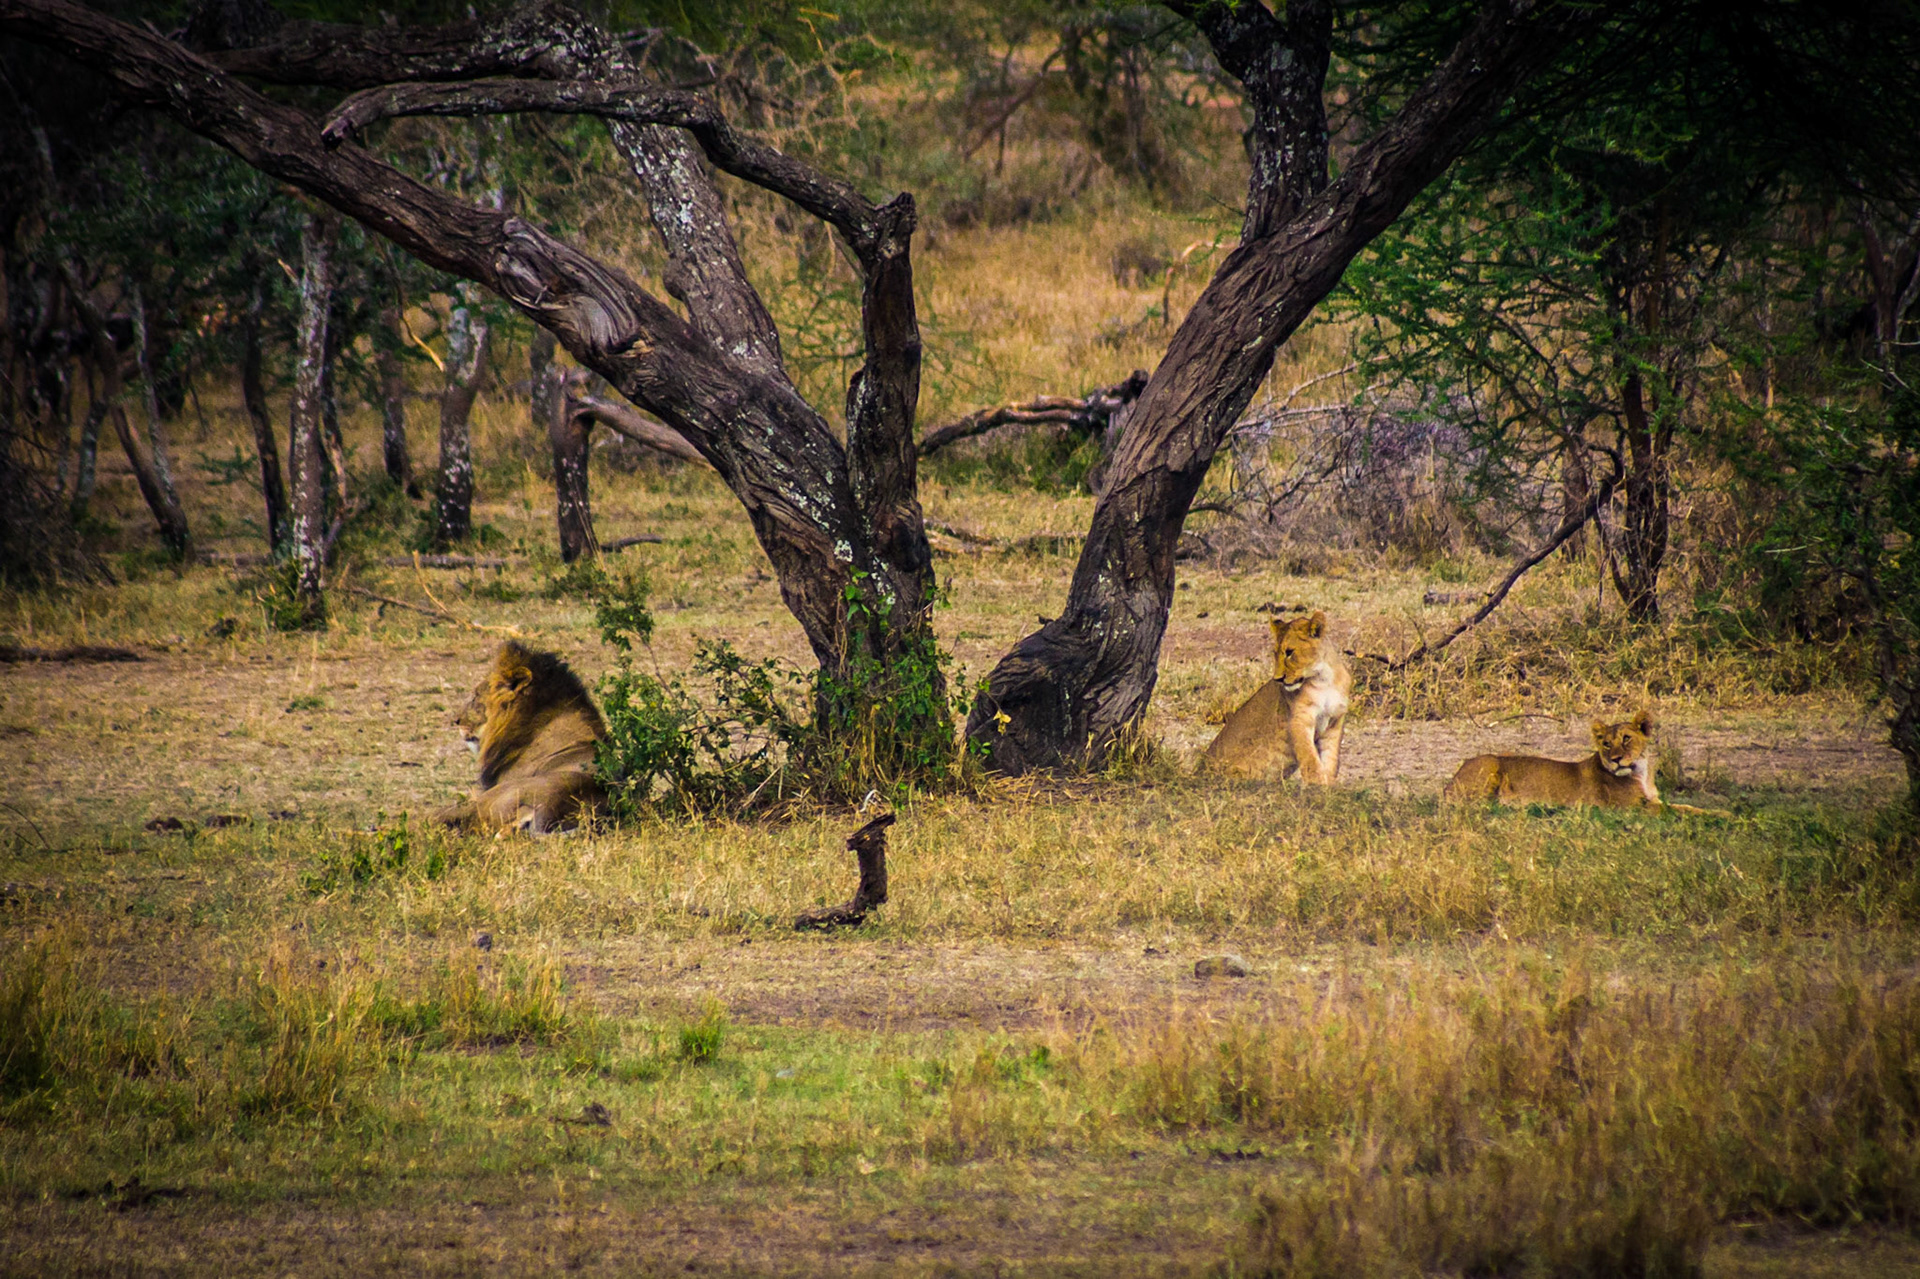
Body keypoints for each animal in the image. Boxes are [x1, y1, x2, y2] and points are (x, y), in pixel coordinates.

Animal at [1203, 612, 1352, 784]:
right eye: (1275, 653)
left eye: (1289, 652)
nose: (1278, 679)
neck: (1324, 679)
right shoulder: (1299, 719)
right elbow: (1310, 759)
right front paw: (1316, 784)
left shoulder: (1334, 723)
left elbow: (1331, 761)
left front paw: (1327, 786)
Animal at [1443, 711, 1729, 815]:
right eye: (1607, 744)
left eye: (1626, 738)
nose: (1615, 760)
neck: (1641, 772)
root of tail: (1451, 779)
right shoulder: (1634, 808)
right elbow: (1682, 810)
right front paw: (1724, 814)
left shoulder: (1652, 800)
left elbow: (1685, 805)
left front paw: (1722, 812)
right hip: (1491, 763)